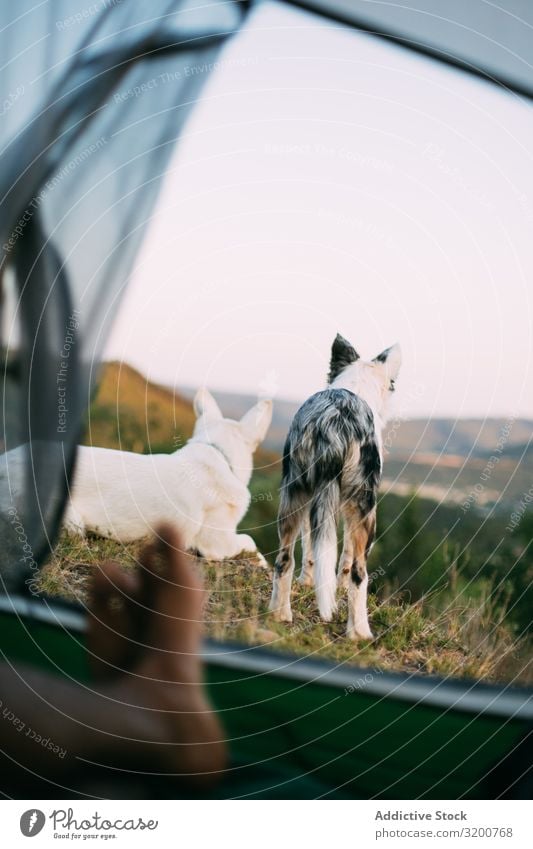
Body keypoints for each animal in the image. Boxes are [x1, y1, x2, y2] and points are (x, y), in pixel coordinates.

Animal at [270, 332, 400, 636]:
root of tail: (331, 424)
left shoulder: (315, 501)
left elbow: (312, 552)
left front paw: (308, 582)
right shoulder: (355, 507)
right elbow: (347, 561)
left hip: (294, 495)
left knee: (284, 559)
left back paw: (280, 613)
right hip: (365, 509)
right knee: (359, 573)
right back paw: (359, 633)